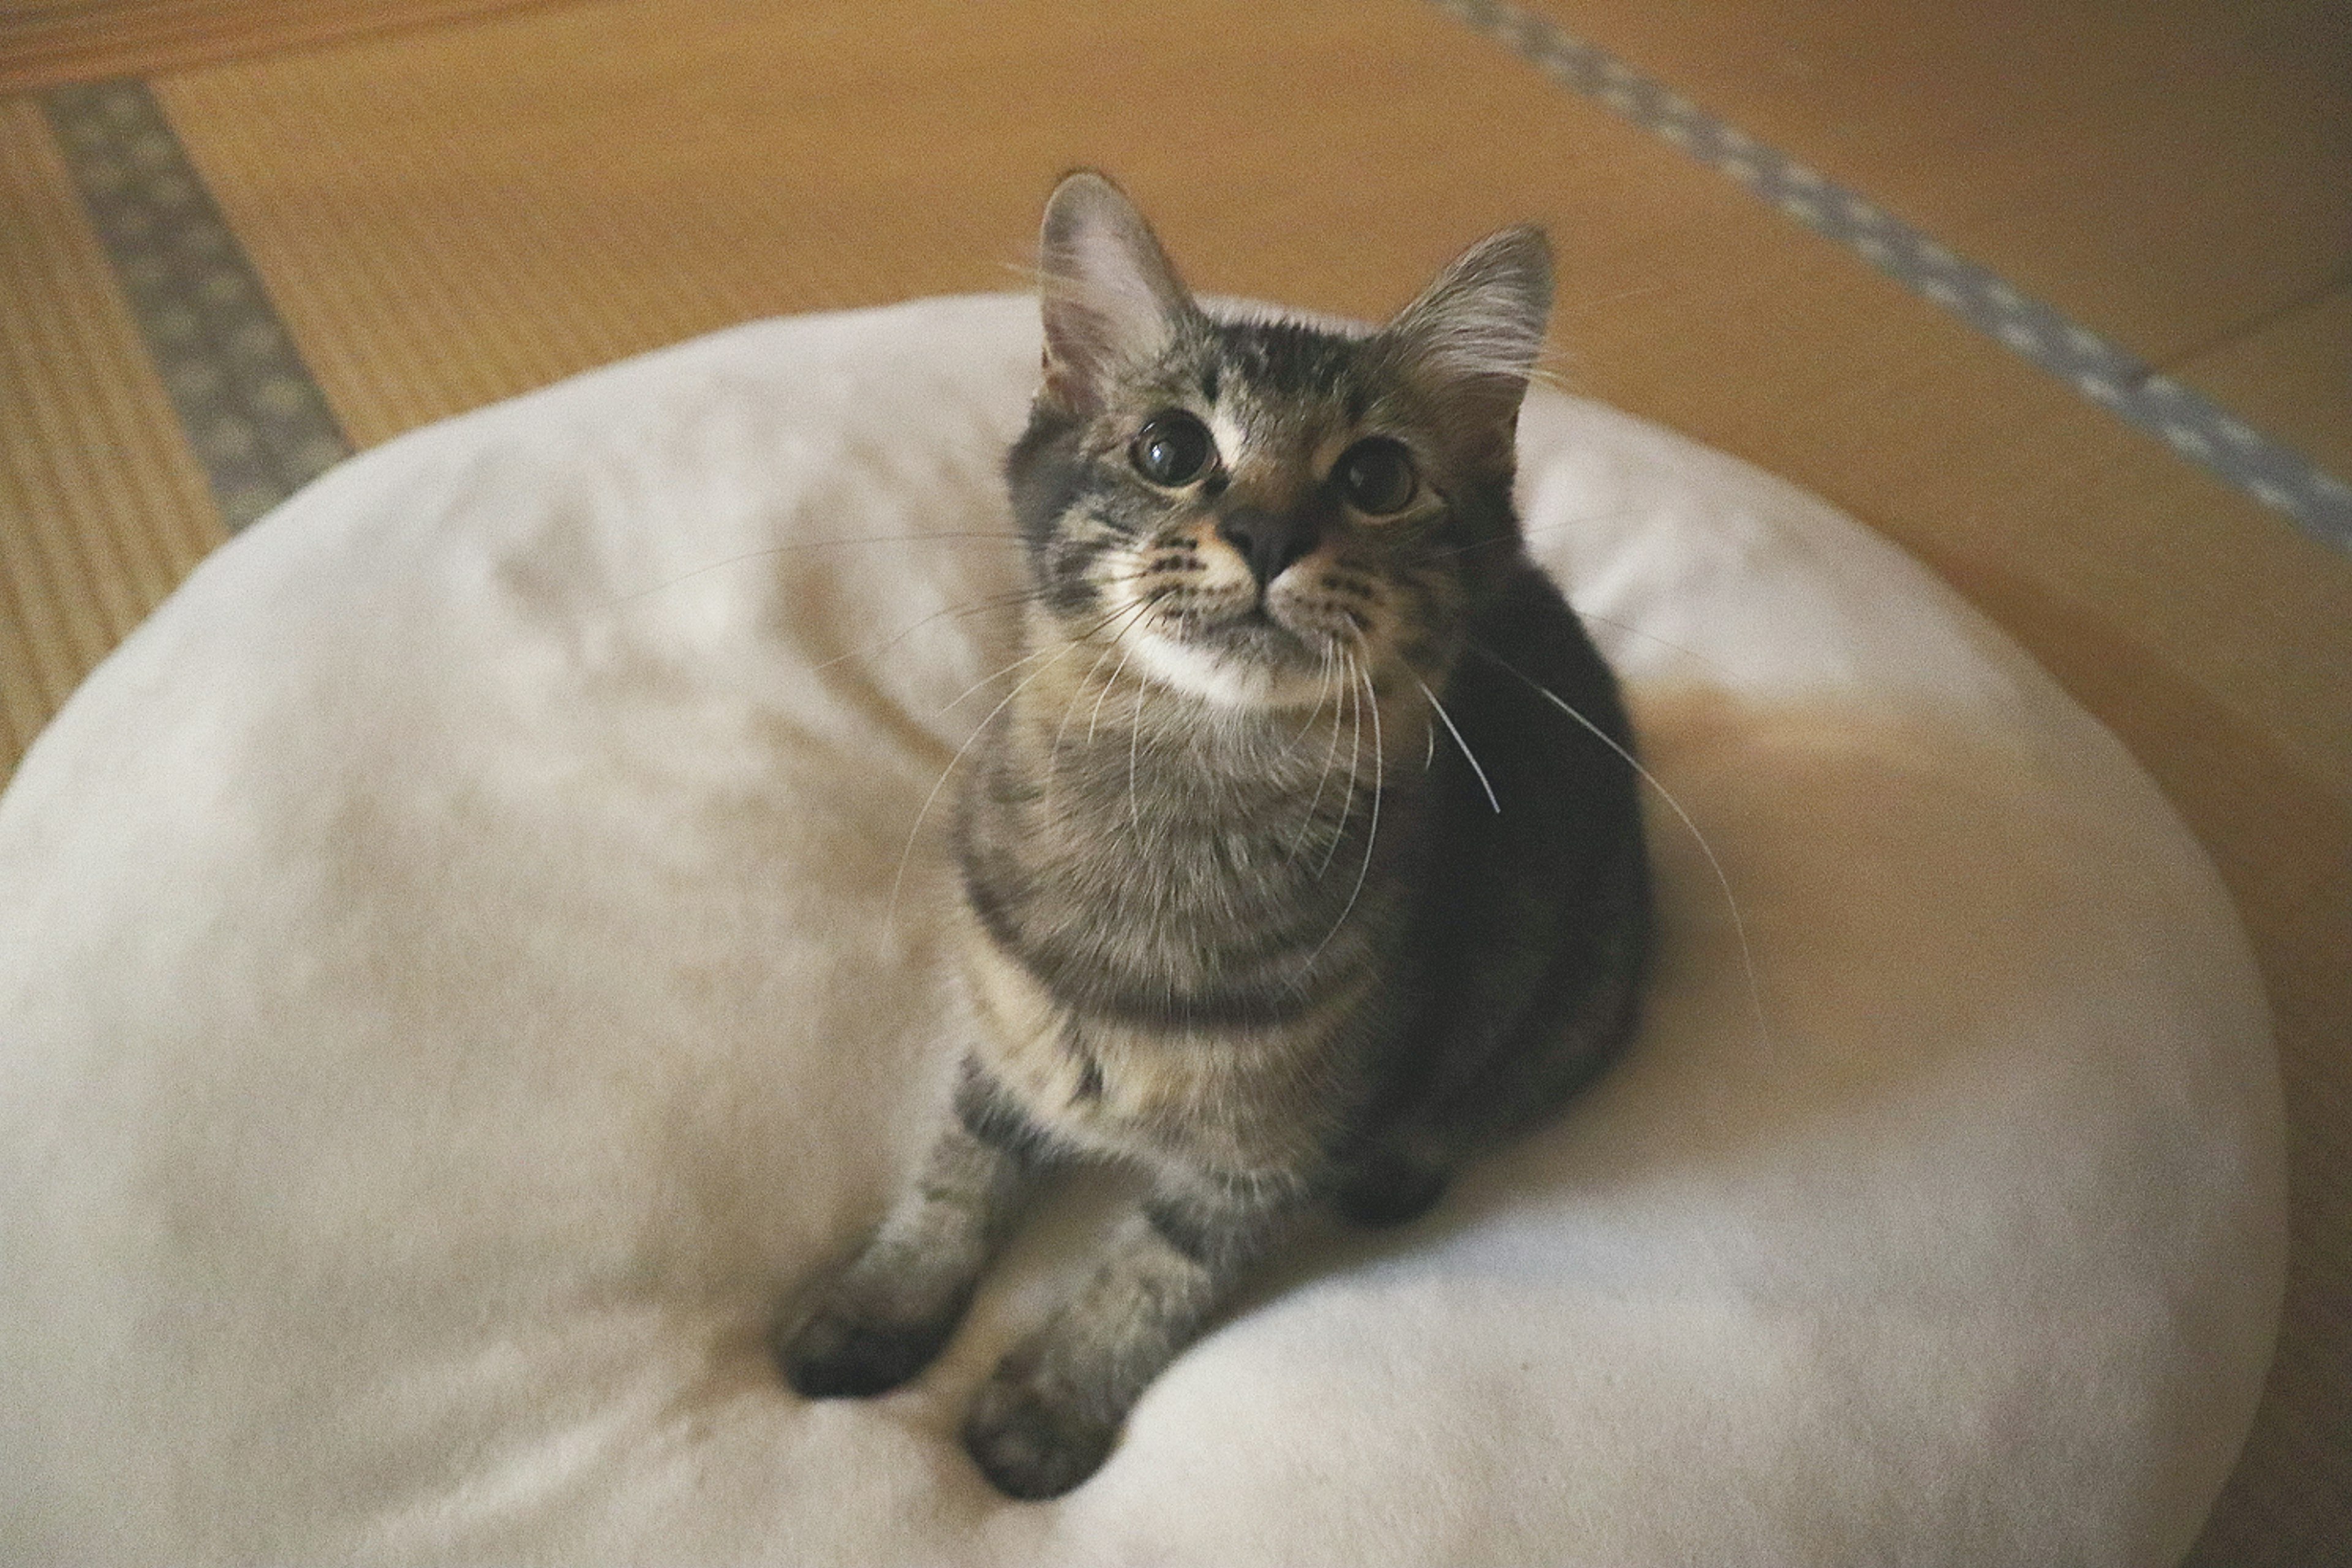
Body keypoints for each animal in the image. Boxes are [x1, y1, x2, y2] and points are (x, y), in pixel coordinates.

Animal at [776, 169, 1656, 1495]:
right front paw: (880, 1303)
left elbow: (1157, 1269)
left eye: (1377, 478)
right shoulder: (1008, 1037)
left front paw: (1049, 1400)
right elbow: (955, 1174)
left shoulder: (1271, 1159)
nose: (1270, 535)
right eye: (1170, 451)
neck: (1183, 792)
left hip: (1577, 998)